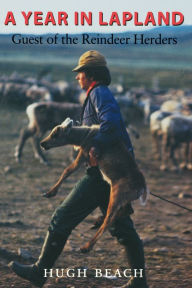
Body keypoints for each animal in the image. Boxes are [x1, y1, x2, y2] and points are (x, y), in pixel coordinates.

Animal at [40, 118, 147, 253]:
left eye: (55, 134)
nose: (42, 143)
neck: (85, 135)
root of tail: (143, 187)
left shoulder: (84, 154)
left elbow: (67, 170)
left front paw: (50, 193)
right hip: (123, 199)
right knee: (127, 211)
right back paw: (97, 222)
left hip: (116, 196)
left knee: (109, 220)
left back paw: (86, 246)